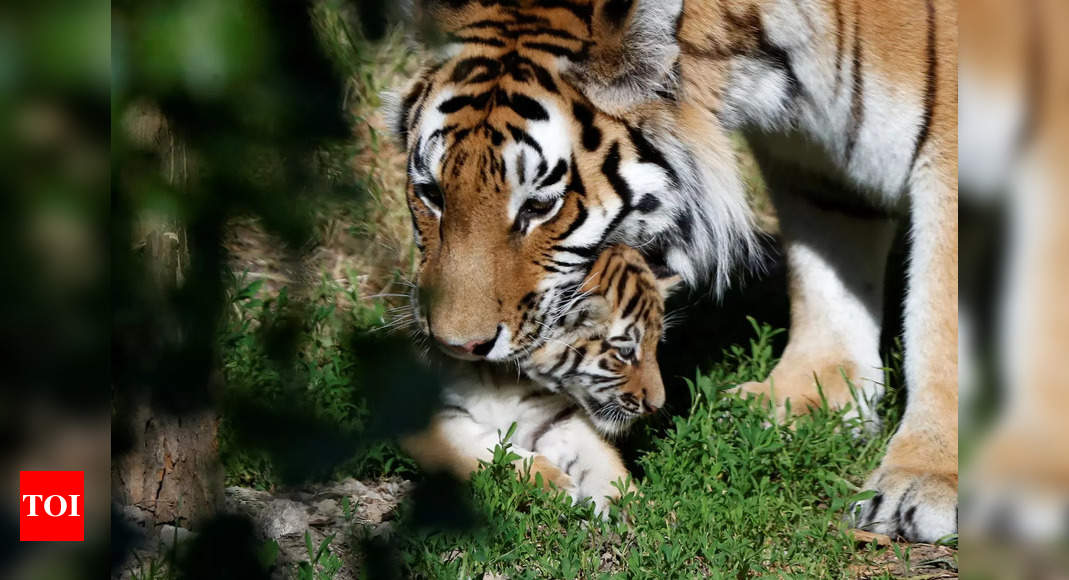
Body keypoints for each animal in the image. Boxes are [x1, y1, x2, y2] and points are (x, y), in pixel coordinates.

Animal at [389, 0, 957, 544]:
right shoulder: (812, 160)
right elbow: (826, 268)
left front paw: (924, 481)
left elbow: (941, 314)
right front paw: (805, 399)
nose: (457, 346)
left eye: (539, 205)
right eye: (431, 194)